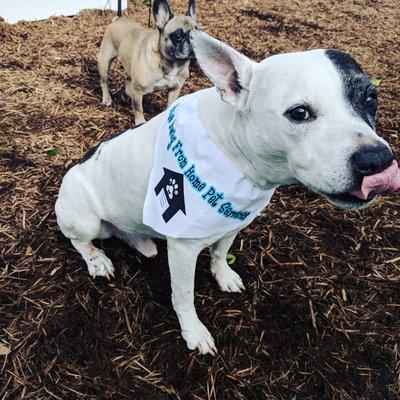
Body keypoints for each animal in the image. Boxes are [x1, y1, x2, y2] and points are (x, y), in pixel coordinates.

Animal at [56, 32, 400, 356]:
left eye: (371, 98)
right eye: (299, 113)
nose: (377, 159)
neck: (233, 153)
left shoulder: (235, 221)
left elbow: (221, 253)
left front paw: (223, 275)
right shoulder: (183, 248)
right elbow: (184, 295)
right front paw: (193, 331)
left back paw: (141, 241)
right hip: (84, 220)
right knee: (79, 240)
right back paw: (97, 260)